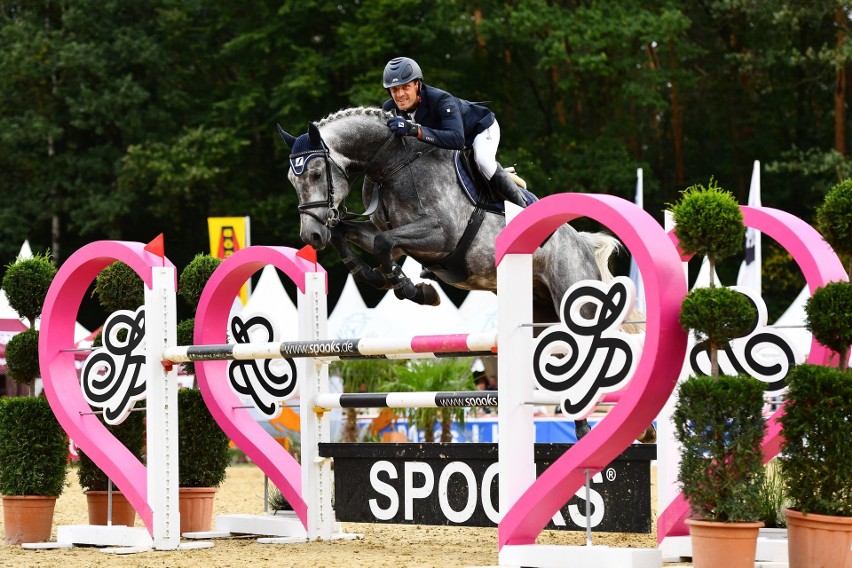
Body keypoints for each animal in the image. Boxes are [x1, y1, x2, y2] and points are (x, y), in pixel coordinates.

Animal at [278, 107, 620, 440]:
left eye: (316, 173)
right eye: (291, 180)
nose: (311, 236)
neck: (393, 165)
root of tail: (583, 243)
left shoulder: (441, 235)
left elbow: (384, 243)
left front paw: (413, 289)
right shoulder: (383, 233)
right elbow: (353, 237)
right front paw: (381, 277)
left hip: (574, 303)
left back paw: (587, 430)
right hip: (540, 314)